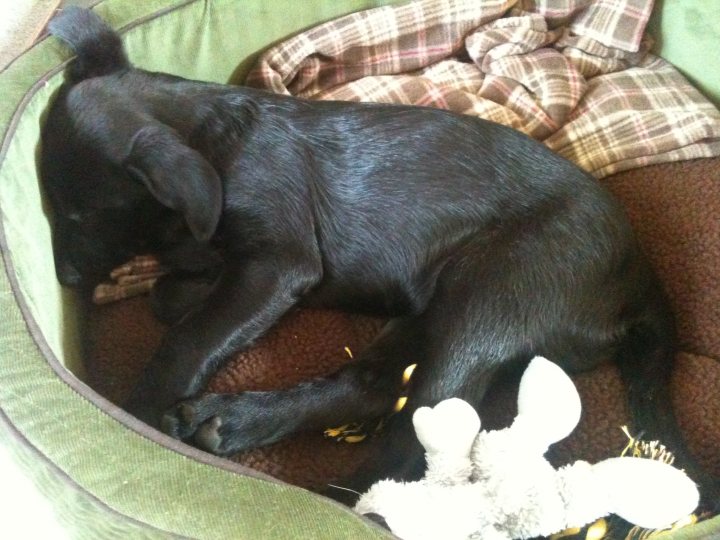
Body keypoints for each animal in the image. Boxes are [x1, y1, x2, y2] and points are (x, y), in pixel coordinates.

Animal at [43, 7, 716, 502]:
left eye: (79, 216)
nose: (67, 277)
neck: (215, 142)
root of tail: (641, 282)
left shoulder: (278, 262)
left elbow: (189, 336)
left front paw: (136, 413)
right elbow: (172, 292)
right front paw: (181, 284)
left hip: (493, 295)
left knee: (416, 443)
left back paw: (336, 500)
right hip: (433, 309)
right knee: (373, 389)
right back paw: (234, 422)